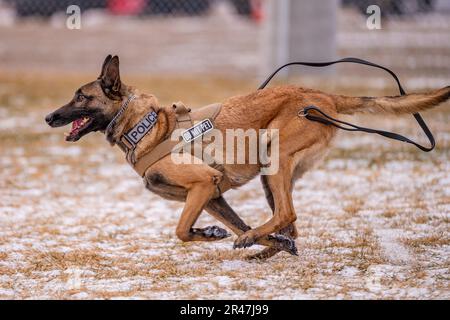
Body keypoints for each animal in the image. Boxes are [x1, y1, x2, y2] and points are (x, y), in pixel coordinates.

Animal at [45, 55, 450, 260]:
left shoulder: (203, 185)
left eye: (81, 97)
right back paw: (271, 248)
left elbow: (181, 231)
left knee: (288, 215)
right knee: (288, 224)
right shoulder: (212, 197)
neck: (146, 126)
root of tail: (323, 95)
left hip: (275, 160)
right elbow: (226, 226)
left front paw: (214, 235)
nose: (50, 117)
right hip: (273, 176)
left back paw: (261, 242)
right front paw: (228, 235)